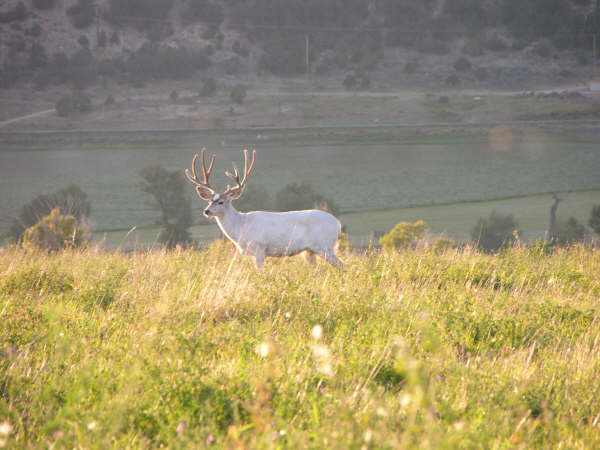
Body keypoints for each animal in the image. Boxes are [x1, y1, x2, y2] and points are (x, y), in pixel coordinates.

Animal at [184, 149, 342, 268]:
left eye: (221, 202)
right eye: (210, 200)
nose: (206, 211)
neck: (240, 227)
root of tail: (338, 224)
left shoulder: (259, 249)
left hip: (324, 246)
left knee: (342, 266)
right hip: (309, 251)